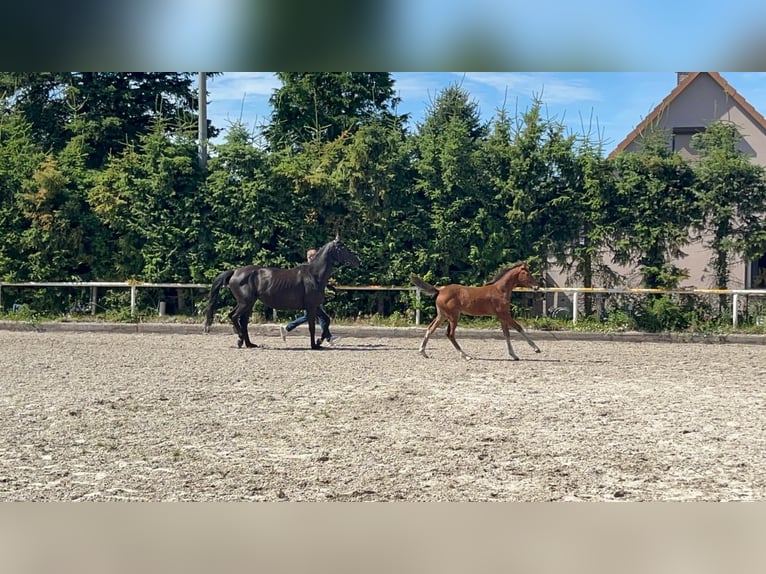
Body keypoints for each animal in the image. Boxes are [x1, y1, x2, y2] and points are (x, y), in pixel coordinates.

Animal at [204, 236, 360, 348]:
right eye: (343, 247)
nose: (358, 261)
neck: (314, 275)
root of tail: (235, 272)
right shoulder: (310, 307)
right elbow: (311, 326)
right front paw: (314, 345)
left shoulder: (315, 306)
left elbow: (326, 320)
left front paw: (320, 341)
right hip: (245, 302)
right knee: (233, 316)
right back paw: (241, 338)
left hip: (248, 303)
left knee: (242, 321)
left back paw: (248, 343)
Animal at [412, 264, 544, 362]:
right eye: (527, 273)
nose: (537, 286)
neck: (500, 290)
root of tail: (440, 290)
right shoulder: (504, 315)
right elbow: (519, 328)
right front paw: (536, 349)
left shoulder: (502, 317)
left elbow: (506, 334)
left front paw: (514, 355)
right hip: (454, 316)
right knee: (450, 334)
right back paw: (466, 356)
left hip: (442, 315)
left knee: (431, 329)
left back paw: (423, 352)